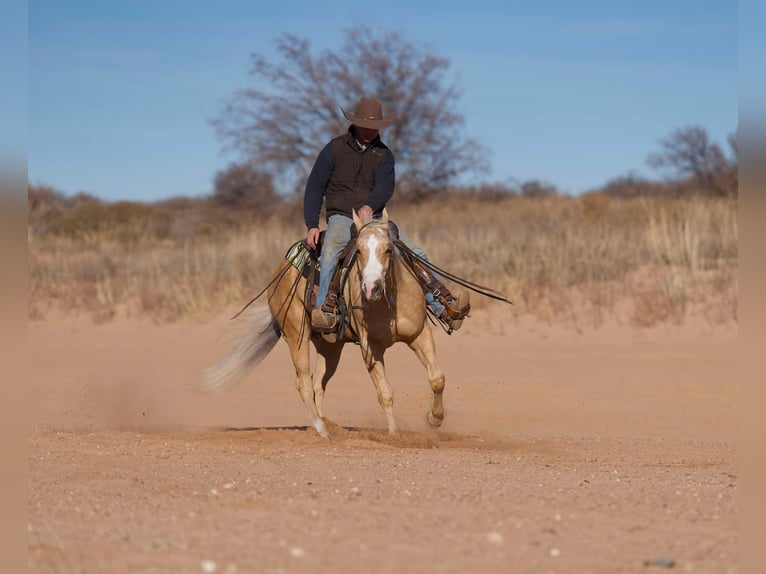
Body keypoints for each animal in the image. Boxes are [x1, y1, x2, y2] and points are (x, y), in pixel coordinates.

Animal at [204, 209, 450, 438]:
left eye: (389, 249)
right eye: (358, 251)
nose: (371, 288)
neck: (388, 304)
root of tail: (282, 267)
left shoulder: (420, 334)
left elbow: (437, 379)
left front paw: (434, 419)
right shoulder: (370, 346)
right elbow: (385, 393)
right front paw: (394, 435)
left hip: (329, 346)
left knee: (317, 385)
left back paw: (323, 424)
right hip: (296, 334)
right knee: (303, 382)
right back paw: (322, 430)